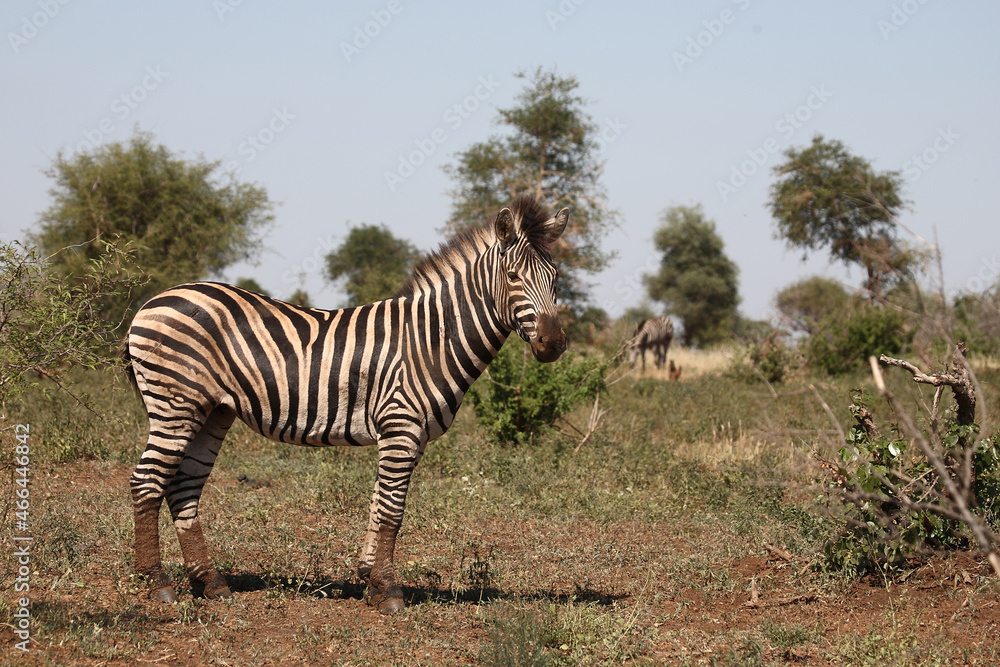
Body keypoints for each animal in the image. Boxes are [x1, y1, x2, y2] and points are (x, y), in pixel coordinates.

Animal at [122, 196, 568, 614]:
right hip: (176, 404)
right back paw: (157, 584)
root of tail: (152, 302)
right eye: (513, 276)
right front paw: (389, 590)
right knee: (147, 481)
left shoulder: (410, 435)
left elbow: (379, 503)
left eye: (556, 278)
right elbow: (392, 510)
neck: (429, 340)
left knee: (184, 487)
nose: (553, 344)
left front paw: (369, 578)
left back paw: (210, 582)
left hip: (212, 411)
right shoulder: (401, 425)